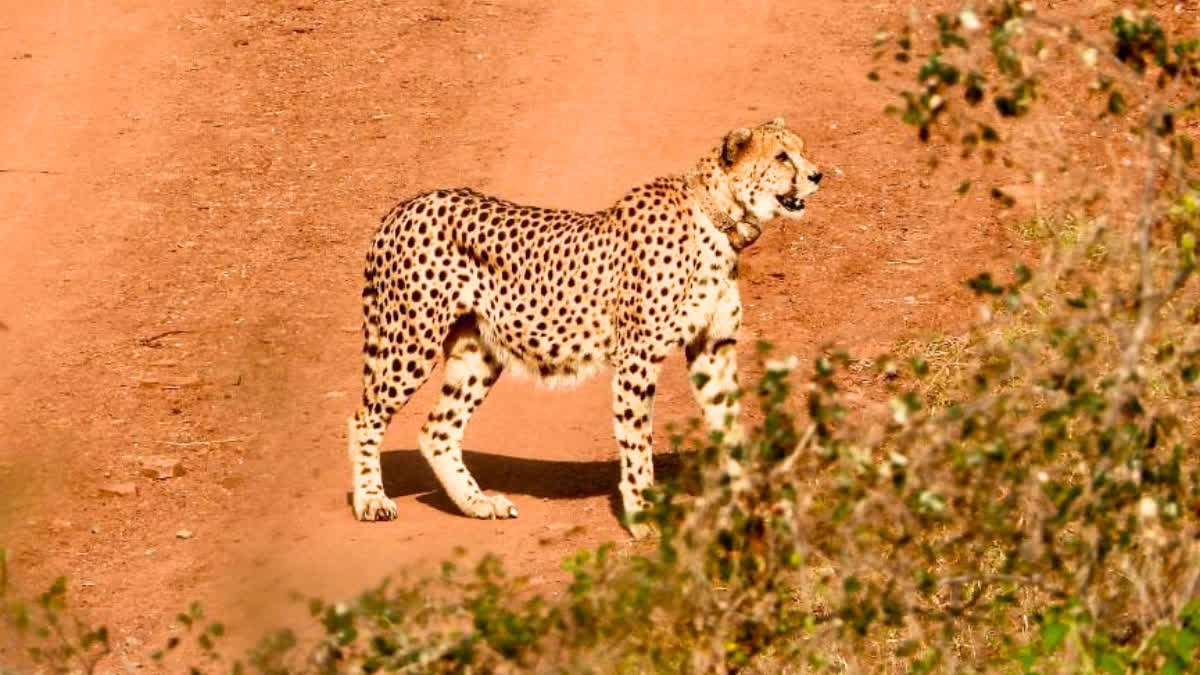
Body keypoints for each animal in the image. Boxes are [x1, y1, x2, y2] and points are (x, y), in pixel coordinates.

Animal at [343, 117, 820, 535]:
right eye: (781, 156)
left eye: (801, 148)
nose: (816, 175)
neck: (718, 219)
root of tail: (406, 205)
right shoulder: (638, 358)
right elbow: (637, 440)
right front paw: (642, 514)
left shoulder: (712, 348)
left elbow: (729, 425)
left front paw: (749, 498)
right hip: (410, 341)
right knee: (365, 417)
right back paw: (371, 500)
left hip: (478, 352)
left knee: (437, 430)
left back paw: (478, 503)